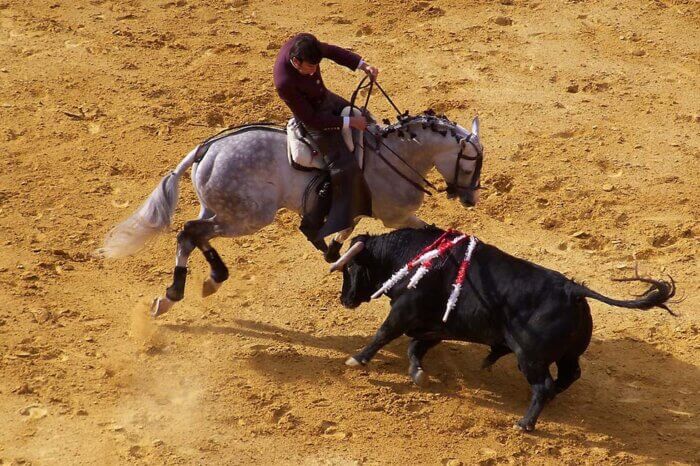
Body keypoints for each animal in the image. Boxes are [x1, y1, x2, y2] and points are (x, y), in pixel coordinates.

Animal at [101, 112, 484, 316]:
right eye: (471, 163)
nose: (470, 199)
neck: (395, 154)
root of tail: (205, 149)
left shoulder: (357, 211)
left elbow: (345, 232)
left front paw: (332, 251)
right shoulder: (397, 216)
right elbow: (430, 230)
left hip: (220, 208)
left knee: (195, 234)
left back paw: (201, 283)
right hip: (249, 216)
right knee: (190, 232)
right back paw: (181, 291)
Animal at [330, 228, 676, 432]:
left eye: (351, 268)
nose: (344, 299)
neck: (410, 256)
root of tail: (573, 291)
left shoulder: (404, 311)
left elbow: (384, 334)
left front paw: (357, 359)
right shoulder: (436, 324)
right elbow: (416, 346)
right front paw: (417, 373)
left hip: (530, 357)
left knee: (544, 385)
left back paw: (525, 424)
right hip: (567, 355)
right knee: (569, 375)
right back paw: (547, 402)